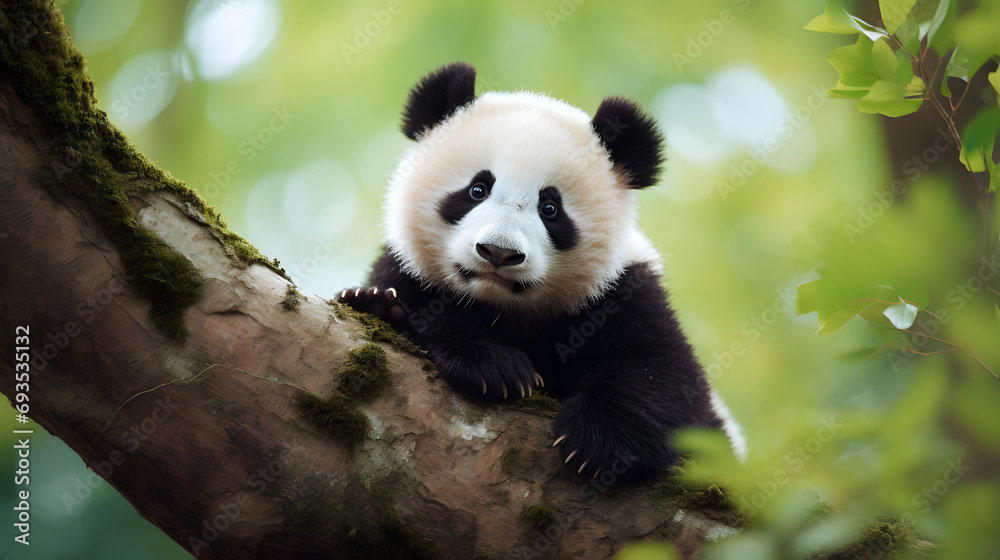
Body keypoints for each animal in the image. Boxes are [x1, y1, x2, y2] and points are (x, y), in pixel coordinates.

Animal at [340, 61, 745, 482]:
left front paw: (597, 442)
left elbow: (663, 374)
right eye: (477, 190)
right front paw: (495, 368)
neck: (506, 307)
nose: (499, 253)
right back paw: (373, 305)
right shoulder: (408, 267)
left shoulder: (623, 291)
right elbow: (425, 308)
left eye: (550, 208)